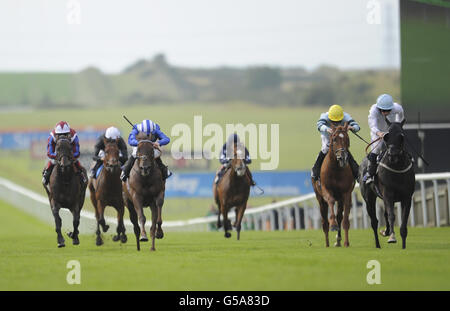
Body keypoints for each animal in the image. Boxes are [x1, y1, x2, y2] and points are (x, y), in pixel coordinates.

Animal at [358, 119, 414, 249]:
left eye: (401, 136)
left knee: (384, 214)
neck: (397, 169)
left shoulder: (406, 197)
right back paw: (378, 244)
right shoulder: (388, 194)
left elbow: (403, 220)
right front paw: (392, 237)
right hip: (369, 198)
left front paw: (403, 245)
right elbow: (391, 215)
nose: (392, 155)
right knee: (374, 221)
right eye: (386, 136)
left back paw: (385, 231)